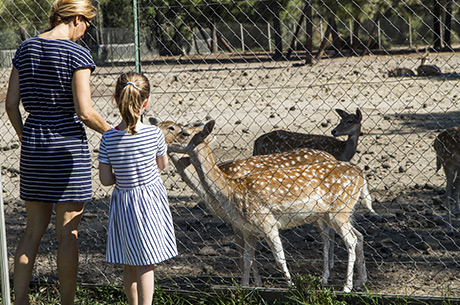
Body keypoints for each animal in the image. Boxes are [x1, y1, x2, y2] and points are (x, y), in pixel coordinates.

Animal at [167, 119, 376, 292]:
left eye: (184, 132)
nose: (167, 143)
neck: (231, 191)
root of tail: (361, 175)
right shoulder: (247, 227)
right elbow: (247, 258)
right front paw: (245, 288)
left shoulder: (267, 222)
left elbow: (279, 257)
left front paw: (292, 287)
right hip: (340, 212)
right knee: (358, 235)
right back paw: (359, 282)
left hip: (338, 210)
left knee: (350, 240)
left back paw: (346, 287)